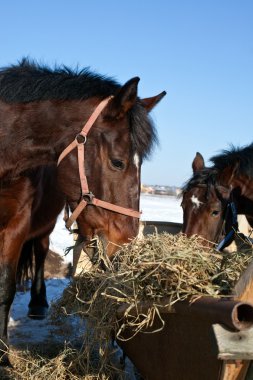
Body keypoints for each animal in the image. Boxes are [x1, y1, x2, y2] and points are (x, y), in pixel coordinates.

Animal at [0, 58, 166, 364]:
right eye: (118, 162)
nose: (125, 243)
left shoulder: (17, 224)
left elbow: (5, 288)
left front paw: (3, 355)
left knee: (41, 249)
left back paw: (38, 303)